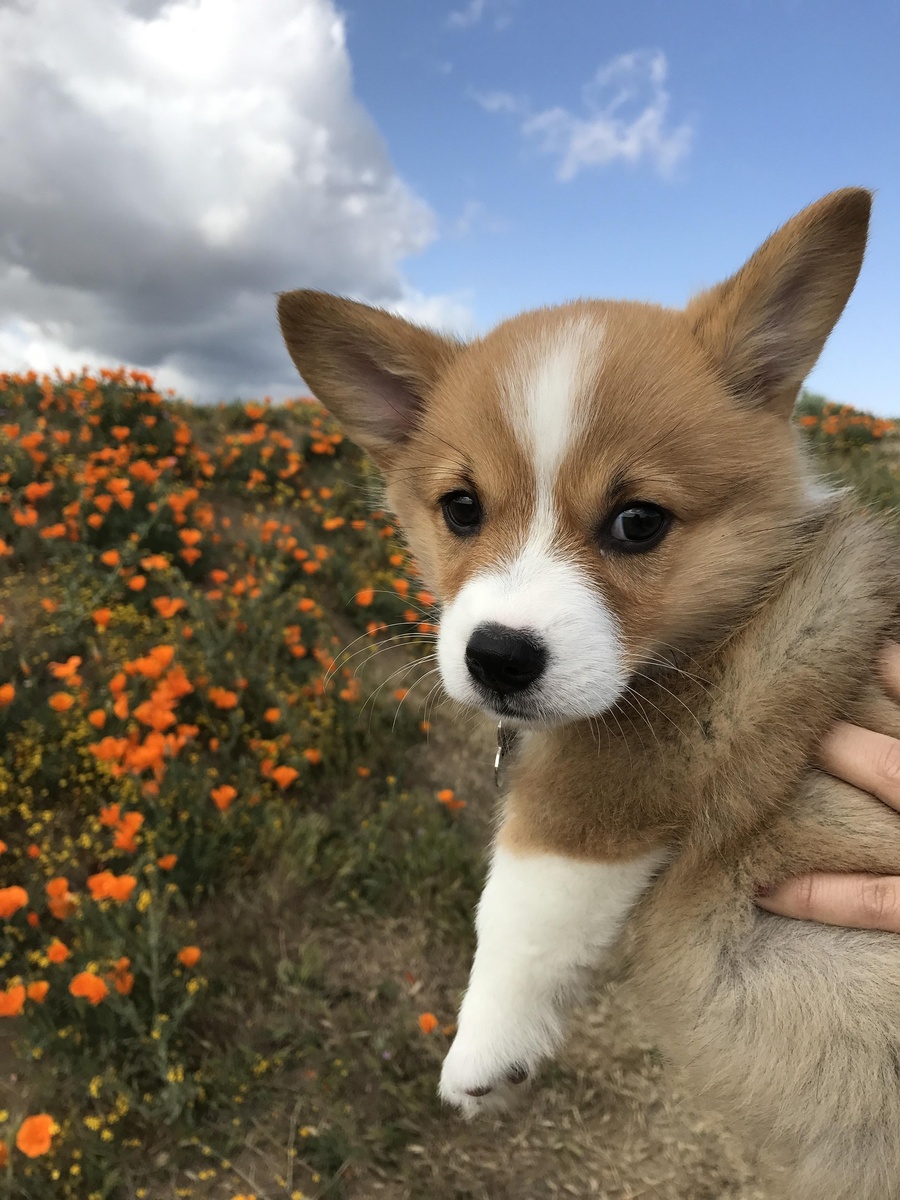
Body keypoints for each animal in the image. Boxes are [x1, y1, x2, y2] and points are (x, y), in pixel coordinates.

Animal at [282, 192, 900, 1195]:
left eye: (638, 522)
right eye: (461, 509)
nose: (498, 658)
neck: (731, 613)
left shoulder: (618, 778)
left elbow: (515, 908)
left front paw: (482, 1054)